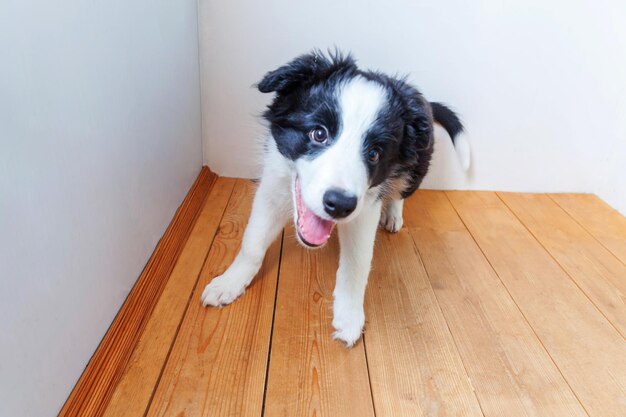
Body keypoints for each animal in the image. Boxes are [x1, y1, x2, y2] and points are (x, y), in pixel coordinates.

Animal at [200, 50, 468, 346]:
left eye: (374, 153)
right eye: (319, 133)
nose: (340, 205)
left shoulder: (365, 208)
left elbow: (357, 264)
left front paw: (349, 317)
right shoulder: (272, 187)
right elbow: (252, 243)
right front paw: (229, 282)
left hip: (417, 163)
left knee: (401, 190)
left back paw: (394, 215)